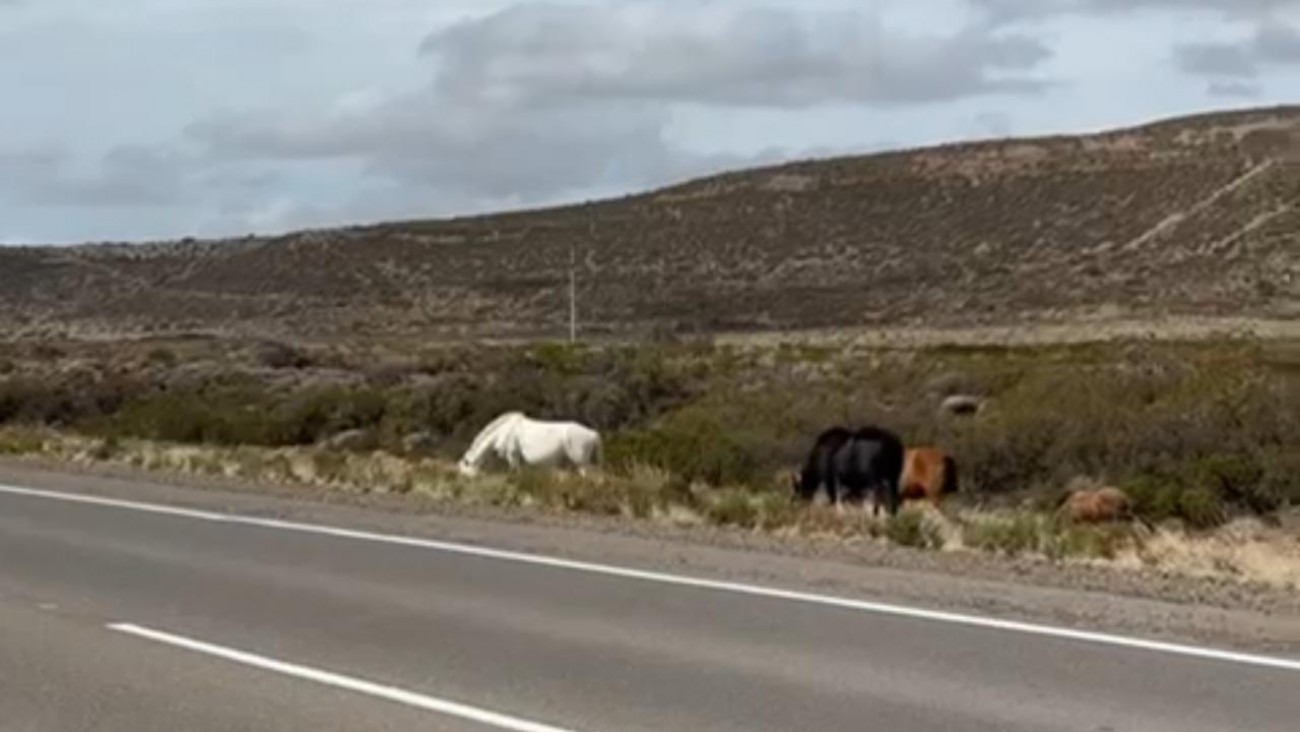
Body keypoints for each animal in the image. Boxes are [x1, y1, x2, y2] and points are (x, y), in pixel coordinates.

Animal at [457, 411, 602, 478]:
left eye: (465, 470)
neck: (503, 430)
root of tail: (592, 433)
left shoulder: (513, 455)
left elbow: (516, 472)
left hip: (580, 461)